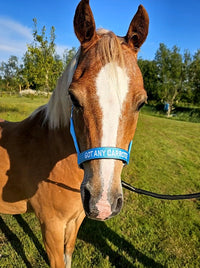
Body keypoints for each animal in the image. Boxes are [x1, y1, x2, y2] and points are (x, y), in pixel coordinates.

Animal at [0, 1, 148, 266]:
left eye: (141, 103)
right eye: (74, 98)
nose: (103, 203)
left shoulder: (76, 219)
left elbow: (69, 254)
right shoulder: (51, 227)